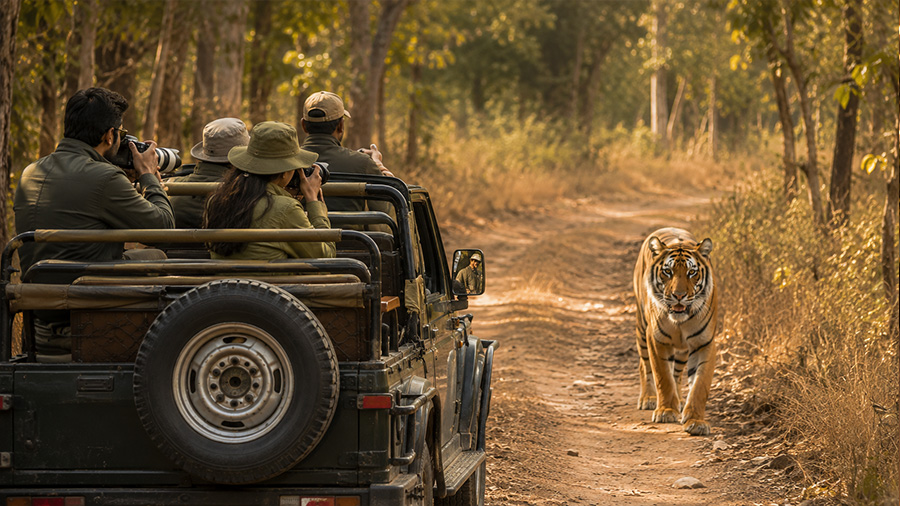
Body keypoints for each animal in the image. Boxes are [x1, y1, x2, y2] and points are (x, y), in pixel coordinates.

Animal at [632, 227, 718, 436]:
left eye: (692, 272)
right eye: (668, 272)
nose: (679, 296)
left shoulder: (704, 343)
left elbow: (700, 385)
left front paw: (696, 421)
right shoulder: (656, 340)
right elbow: (662, 376)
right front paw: (665, 411)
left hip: (682, 350)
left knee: (677, 374)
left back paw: (679, 401)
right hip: (641, 328)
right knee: (645, 366)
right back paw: (649, 399)